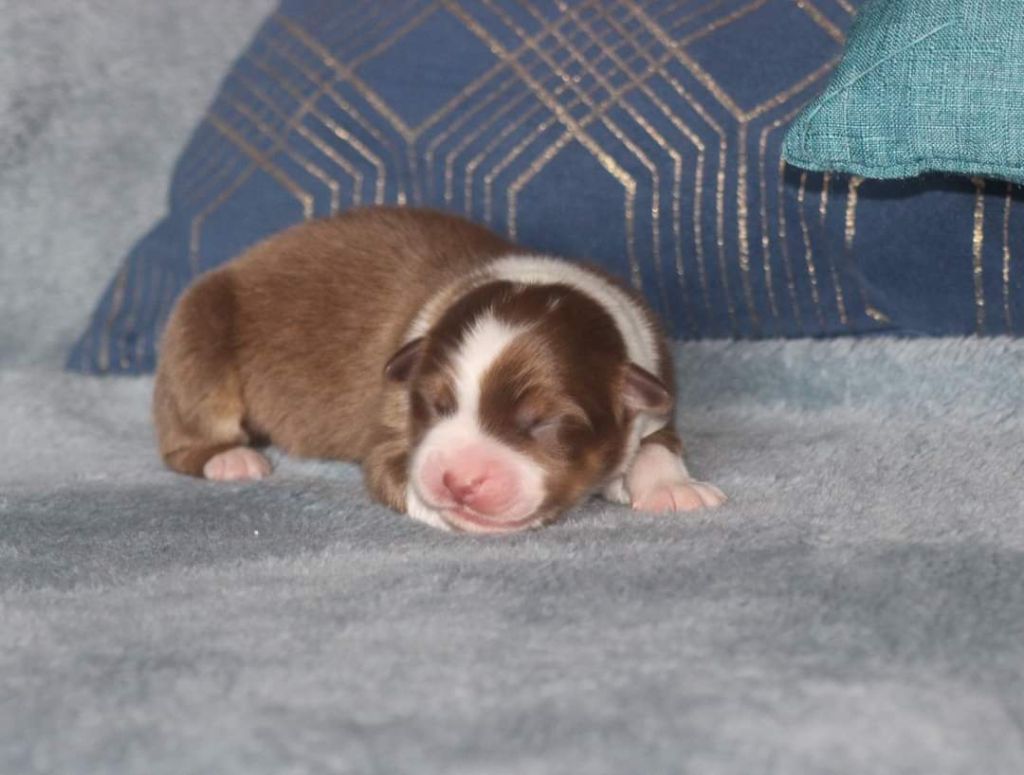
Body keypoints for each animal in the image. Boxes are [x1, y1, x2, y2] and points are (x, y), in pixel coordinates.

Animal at [153, 205, 729, 532]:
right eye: (435, 403)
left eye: (544, 423)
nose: (460, 481)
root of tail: (244, 258)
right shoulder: (391, 433)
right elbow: (395, 472)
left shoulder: (656, 387)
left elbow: (658, 445)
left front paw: (672, 489)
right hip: (200, 326)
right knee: (185, 434)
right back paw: (231, 459)